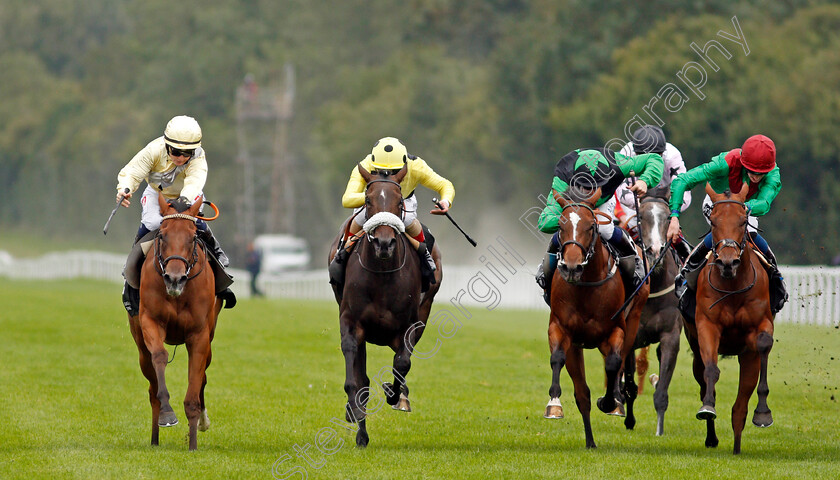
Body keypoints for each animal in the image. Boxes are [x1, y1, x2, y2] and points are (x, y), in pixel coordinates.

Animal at [126, 191, 221, 450]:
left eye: (192, 237)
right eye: (162, 235)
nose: (174, 279)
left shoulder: (199, 334)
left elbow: (195, 384)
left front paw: (193, 442)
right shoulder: (150, 321)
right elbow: (160, 356)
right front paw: (167, 414)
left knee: (204, 374)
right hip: (140, 347)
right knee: (151, 386)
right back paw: (154, 438)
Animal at [326, 164, 442, 446]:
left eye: (399, 201)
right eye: (368, 201)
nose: (384, 243)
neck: (381, 274)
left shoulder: (409, 325)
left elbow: (402, 363)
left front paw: (394, 393)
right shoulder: (351, 321)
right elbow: (356, 377)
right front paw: (355, 414)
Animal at [544, 186, 648, 448]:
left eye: (591, 226)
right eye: (560, 226)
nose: (571, 267)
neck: (587, 287)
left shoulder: (615, 330)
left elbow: (612, 364)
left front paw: (610, 402)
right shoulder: (560, 328)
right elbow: (558, 359)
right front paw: (554, 405)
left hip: (634, 319)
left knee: (619, 363)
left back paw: (617, 402)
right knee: (582, 394)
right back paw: (590, 441)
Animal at [684, 184, 776, 454]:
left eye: (743, 220)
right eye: (713, 221)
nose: (727, 262)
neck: (733, 286)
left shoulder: (761, 325)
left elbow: (764, 343)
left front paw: (763, 413)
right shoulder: (707, 326)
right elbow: (711, 370)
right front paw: (707, 407)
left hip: (748, 357)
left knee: (741, 403)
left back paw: (738, 443)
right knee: (704, 376)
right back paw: (712, 437)